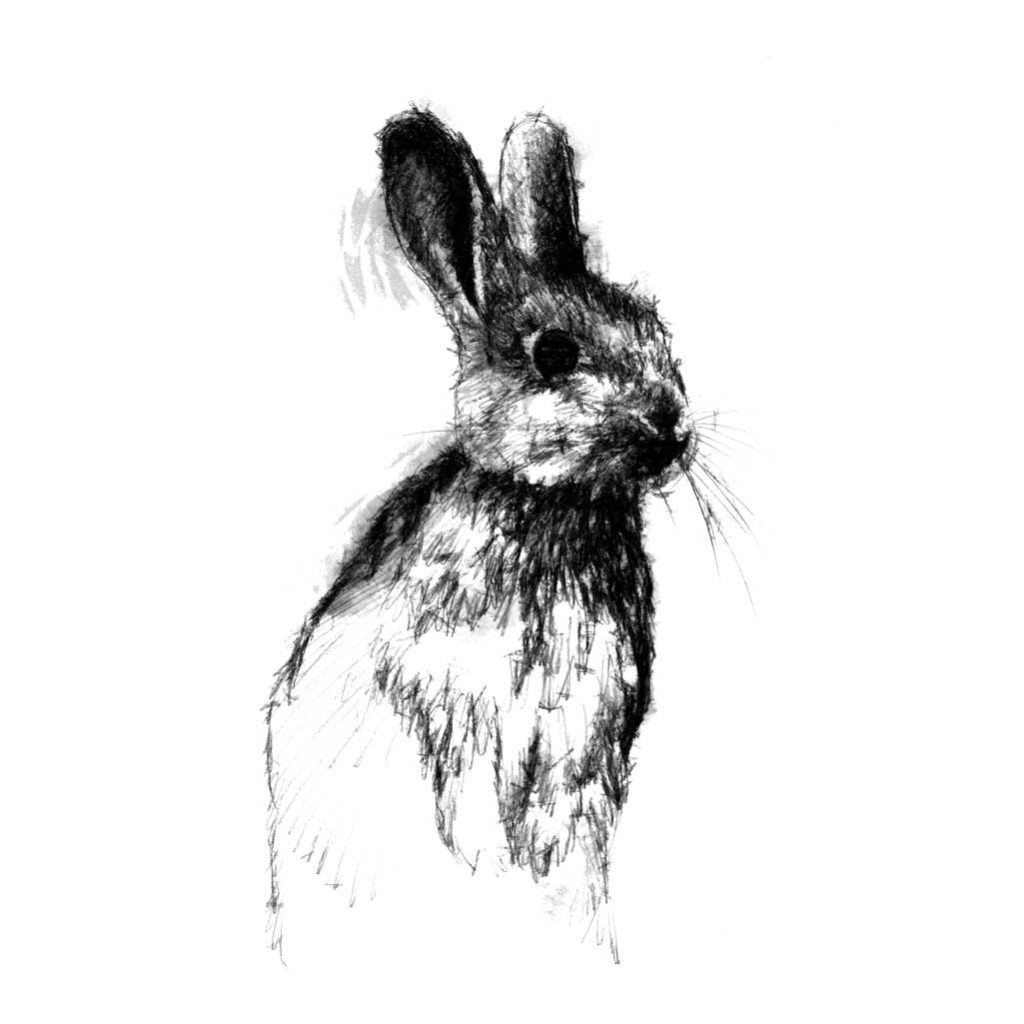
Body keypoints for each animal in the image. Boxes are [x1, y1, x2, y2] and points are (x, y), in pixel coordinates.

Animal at [265, 108, 698, 961]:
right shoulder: (448, 703)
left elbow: (568, 808)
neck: (549, 505)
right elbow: (469, 803)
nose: (672, 429)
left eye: (656, 328)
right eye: (554, 353)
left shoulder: (586, 727)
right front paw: (488, 871)